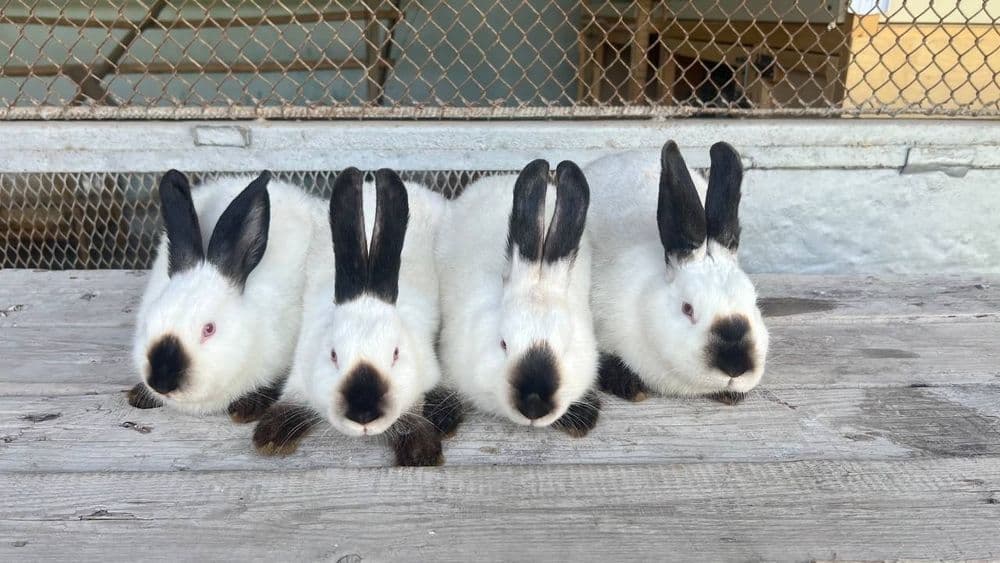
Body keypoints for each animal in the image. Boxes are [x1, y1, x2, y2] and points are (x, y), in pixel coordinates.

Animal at [252, 167, 454, 467]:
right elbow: (293, 397)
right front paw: (270, 436)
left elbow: (413, 409)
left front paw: (421, 452)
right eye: (333, 355)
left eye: (395, 354)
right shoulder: (302, 371)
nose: (363, 415)